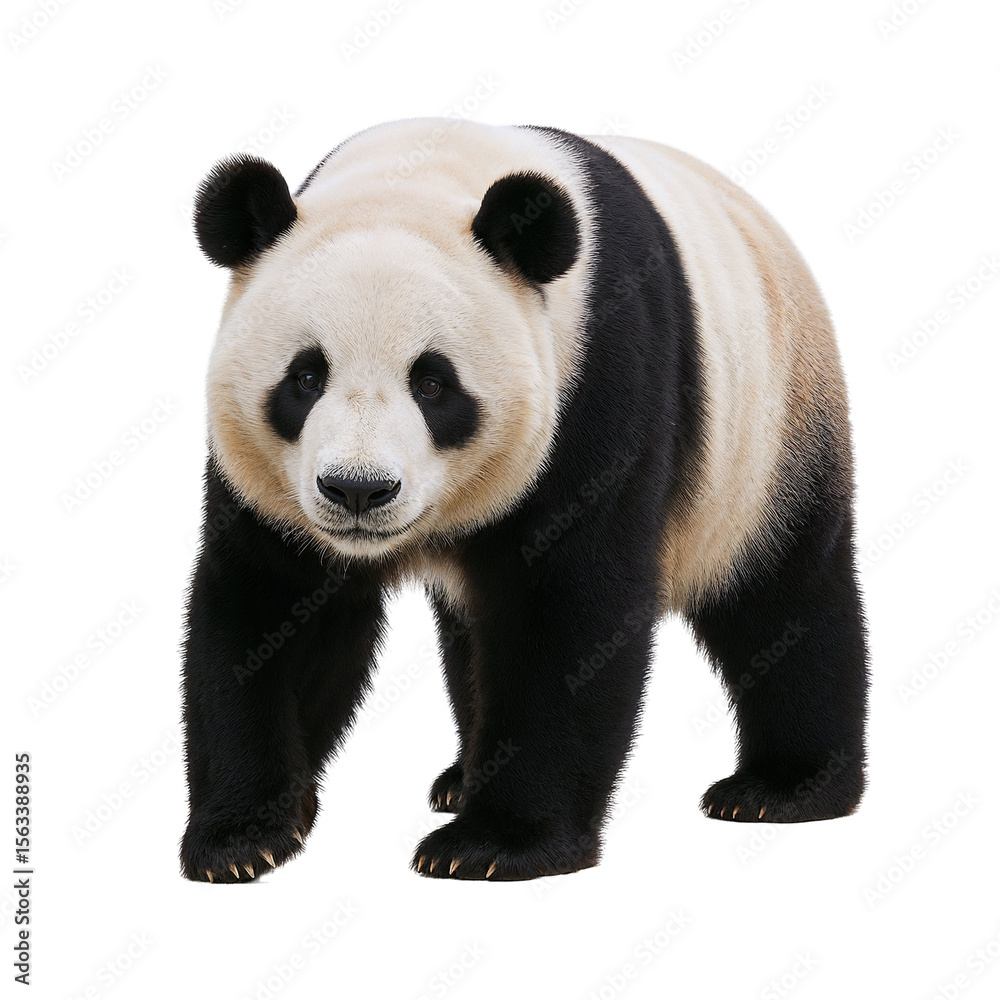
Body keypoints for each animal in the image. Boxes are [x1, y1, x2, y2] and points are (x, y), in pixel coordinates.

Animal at [180, 117, 869, 883]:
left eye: (433, 384)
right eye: (305, 377)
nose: (358, 490)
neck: (420, 173)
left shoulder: (599, 387)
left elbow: (568, 615)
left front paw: (494, 844)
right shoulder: (272, 489)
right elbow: (272, 610)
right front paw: (241, 838)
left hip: (770, 436)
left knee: (784, 599)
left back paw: (782, 788)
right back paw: (459, 779)